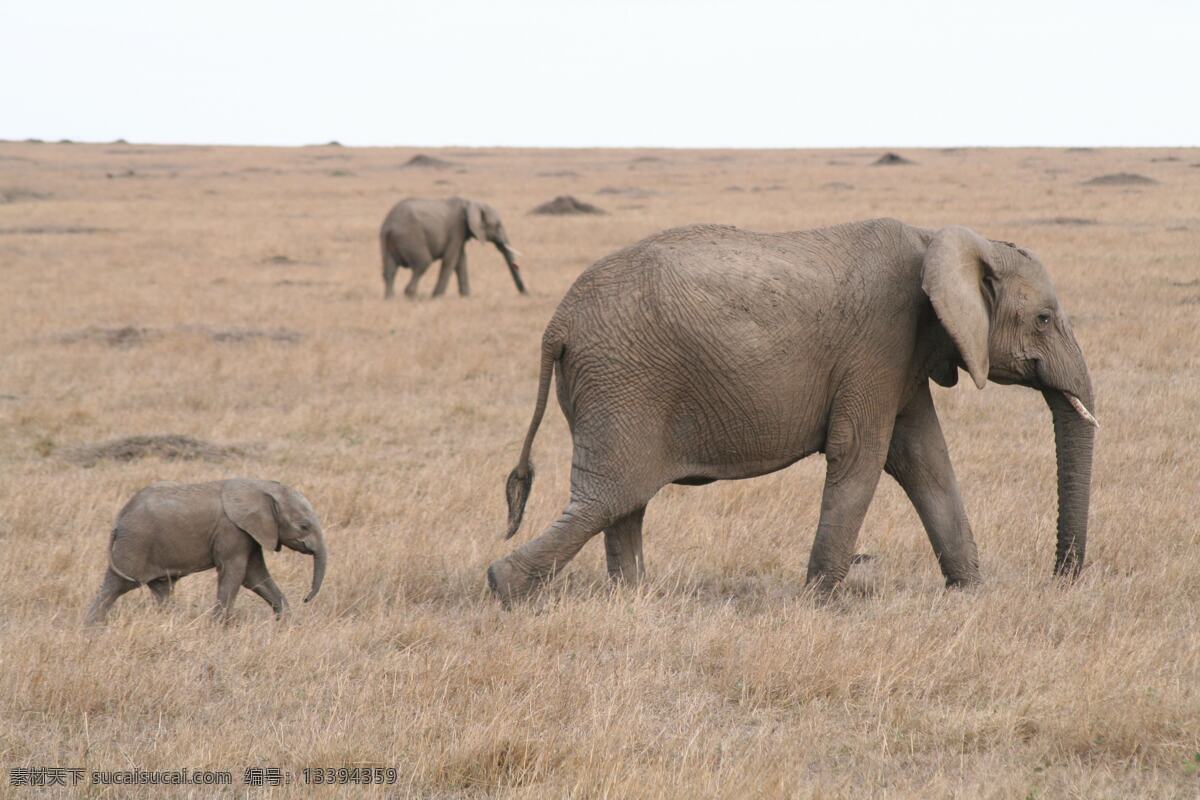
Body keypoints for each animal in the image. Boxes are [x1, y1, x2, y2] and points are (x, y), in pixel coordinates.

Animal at [85, 479, 327, 623]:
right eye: (304, 526)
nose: (306, 599)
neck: (261, 487)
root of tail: (118, 521)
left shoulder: (248, 534)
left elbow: (255, 577)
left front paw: (289, 624)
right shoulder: (232, 531)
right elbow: (236, 574)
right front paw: (219, 628)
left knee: (161, 590)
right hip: (135, 544)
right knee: (115, 586)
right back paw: (92, 629)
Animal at [380, 196, 526, 299]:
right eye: (498, 225)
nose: (525, 294)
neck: (470, 203)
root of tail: (389, 226)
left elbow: (461, 261)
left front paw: (466, 297)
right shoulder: (456, 229)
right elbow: (451, 260)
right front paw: (436, 297)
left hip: (387, 241)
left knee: (389, 270)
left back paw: (390, 299)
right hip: (411, 237)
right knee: (423, 263)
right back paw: (411, 296)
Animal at [487, 218, 1097, 603]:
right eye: (1044, 319)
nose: (1061, 580)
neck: (939, 238)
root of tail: (557, 323)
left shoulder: (901, 359)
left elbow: (926, 460)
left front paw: (970, 592)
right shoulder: (878, 345)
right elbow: (861, 456)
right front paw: (821, 602)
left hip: (614, 384)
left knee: (622, 502)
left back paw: (632, 599)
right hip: (621, 382)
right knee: (610, 497)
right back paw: (505, 587)